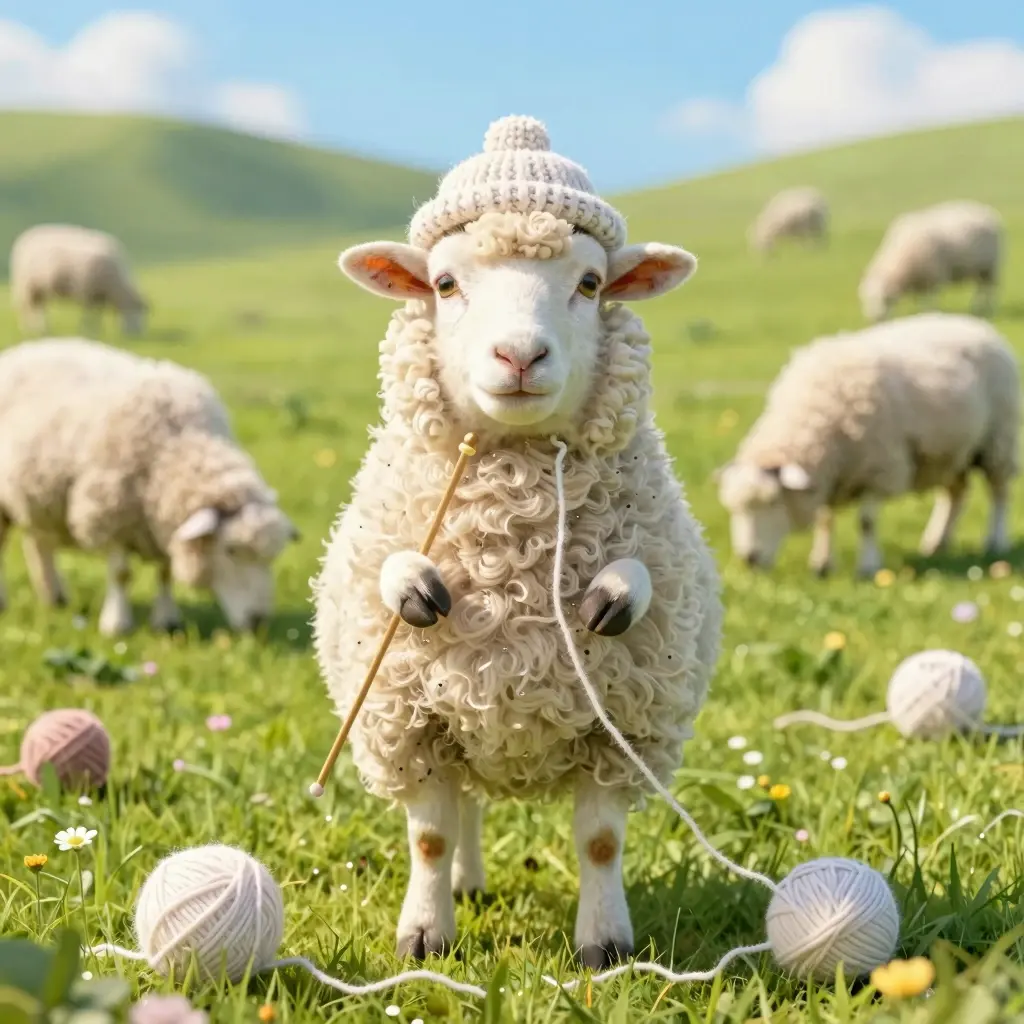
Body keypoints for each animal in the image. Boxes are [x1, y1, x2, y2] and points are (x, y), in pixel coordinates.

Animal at [0, 337, 299, 636]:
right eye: (231, 550)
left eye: (272, 557)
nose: (258, 622)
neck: (177, 442)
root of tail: (26, 348)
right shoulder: (111, 516)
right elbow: (121, 574)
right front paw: (117, 624)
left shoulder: (162, 524)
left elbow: (165, 573)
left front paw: (166, 621)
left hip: (36, 496)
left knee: (37, 543)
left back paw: (55, 597)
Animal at [9, 224, 149, 338]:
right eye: (138, 312)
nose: (137, 335)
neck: (117, 286)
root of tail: (24, 237)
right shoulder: (88, 291)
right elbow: (89, 314)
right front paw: (87, 331)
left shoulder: (99, 295)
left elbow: (98, 315)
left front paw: (95, 331)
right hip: (25, 286)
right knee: (26, 309)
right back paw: (30, 330)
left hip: (38, 289)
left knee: (38, 308)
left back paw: (42, 330)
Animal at [312, 115, 722, 969]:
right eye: (444, 284)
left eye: (591, 284)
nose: (520, 356)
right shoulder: (407, 720)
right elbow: (428, 840)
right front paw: (423, 939)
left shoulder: (622, 722)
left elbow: (600, 844)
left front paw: (605, 946)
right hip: (448, 716)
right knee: (460, 815)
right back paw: (463, 887)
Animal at [715, 312, 1019, 577]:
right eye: (734, 509)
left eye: (772, 501)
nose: (749, 559)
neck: (816, 416)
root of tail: (973, 322)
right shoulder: (831, 475)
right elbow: (826, 520)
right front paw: (822, 564)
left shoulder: (877, 470)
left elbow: (866, 523)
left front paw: (868, 566)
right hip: (951, 452)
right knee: (955, 494)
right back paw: (935, 543)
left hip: (998, 440)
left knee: (999, 493)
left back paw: (995, 540)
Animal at [858, 200, 1003, 322]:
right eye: (866, 300)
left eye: (886, 299)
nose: (876, 319)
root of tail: (987, 211)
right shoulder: (918, 281)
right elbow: (919, 300)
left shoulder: (933, 277)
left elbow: (929, 300)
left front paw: (930, 314)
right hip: (979, 270)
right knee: (980, 288)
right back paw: (977, 308)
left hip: (991, 267)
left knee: (990, 289)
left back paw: (988, 309)